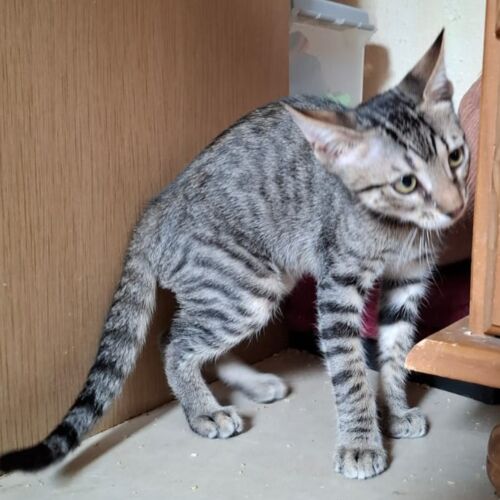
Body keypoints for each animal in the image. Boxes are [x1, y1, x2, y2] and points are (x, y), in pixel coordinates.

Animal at [0, 30, 469, 480]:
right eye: (406, 182)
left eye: (456, 156)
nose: (456, 207)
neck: (398, 230)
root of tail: (156, 206)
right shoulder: (339, 288)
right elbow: (351, 370)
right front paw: (360, 442)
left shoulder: (407, 282)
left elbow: (395, 354)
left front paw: (396, 410)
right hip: (245, 290)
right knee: (173, 341)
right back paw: (204, 411)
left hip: (256, 285)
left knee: (196, 342)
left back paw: (251, 386)